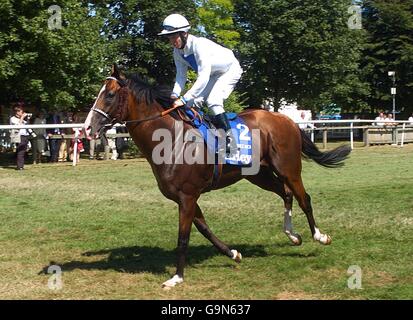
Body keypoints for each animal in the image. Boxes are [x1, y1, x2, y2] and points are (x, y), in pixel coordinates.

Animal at [85, 64, 350, 288]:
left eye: (109, 95)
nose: (88, 127)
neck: (171, 139)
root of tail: (286, 119)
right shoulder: (186, 197)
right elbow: (204, 228)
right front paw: (233, 253)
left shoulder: (187, 196)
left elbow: (183, 238)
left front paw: (177, 277)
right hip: (259, 174)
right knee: (286, 194)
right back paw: (292, 236)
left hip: (289, 169)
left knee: (304, 198)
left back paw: (320, 236)